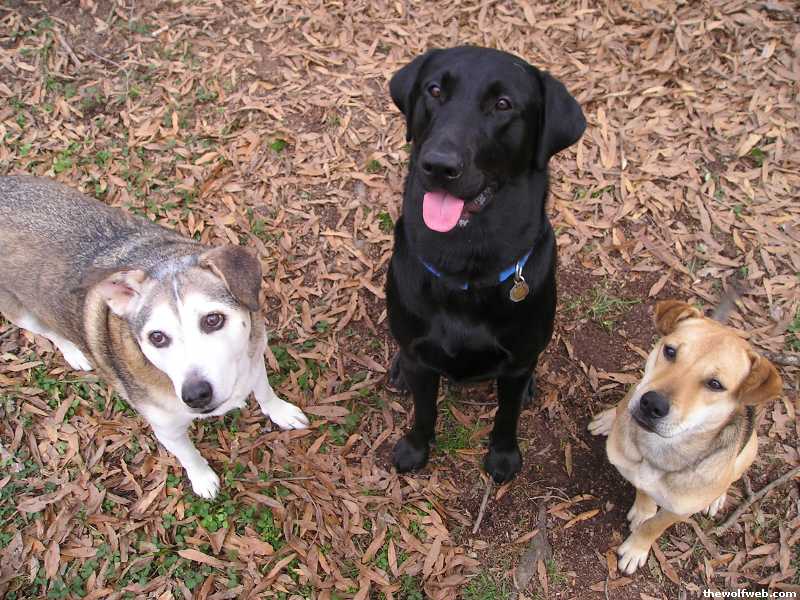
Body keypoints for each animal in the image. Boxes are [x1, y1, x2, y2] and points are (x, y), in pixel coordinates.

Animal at [0, 176, 308, 498]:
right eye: (157, 337)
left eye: (213, 320)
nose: (196, 395)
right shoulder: (168, 429)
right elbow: (188, 454)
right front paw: (202, 479)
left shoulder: (254, 354)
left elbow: (264, 390)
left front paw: (281, 412)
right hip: (21, 313)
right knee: (49, 332)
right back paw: (74, 352)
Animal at [385, 46, 586, 483]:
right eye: (435, 90)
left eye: (503, 104)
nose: (439, 166)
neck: (466, 264)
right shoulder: (421, 360)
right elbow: (424, 411)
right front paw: (415, 448)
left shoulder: (515, 365)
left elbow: (506, 417)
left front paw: (503, 458)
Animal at [589, 300, 782, 574]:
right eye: (670, 351)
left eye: (715, 384)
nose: (652, 404)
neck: (661, 448)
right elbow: (644, 491)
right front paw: (644, 510)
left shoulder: (680, 510)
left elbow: (654, 527)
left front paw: (636, 548)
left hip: (750, 450)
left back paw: (717, 498)